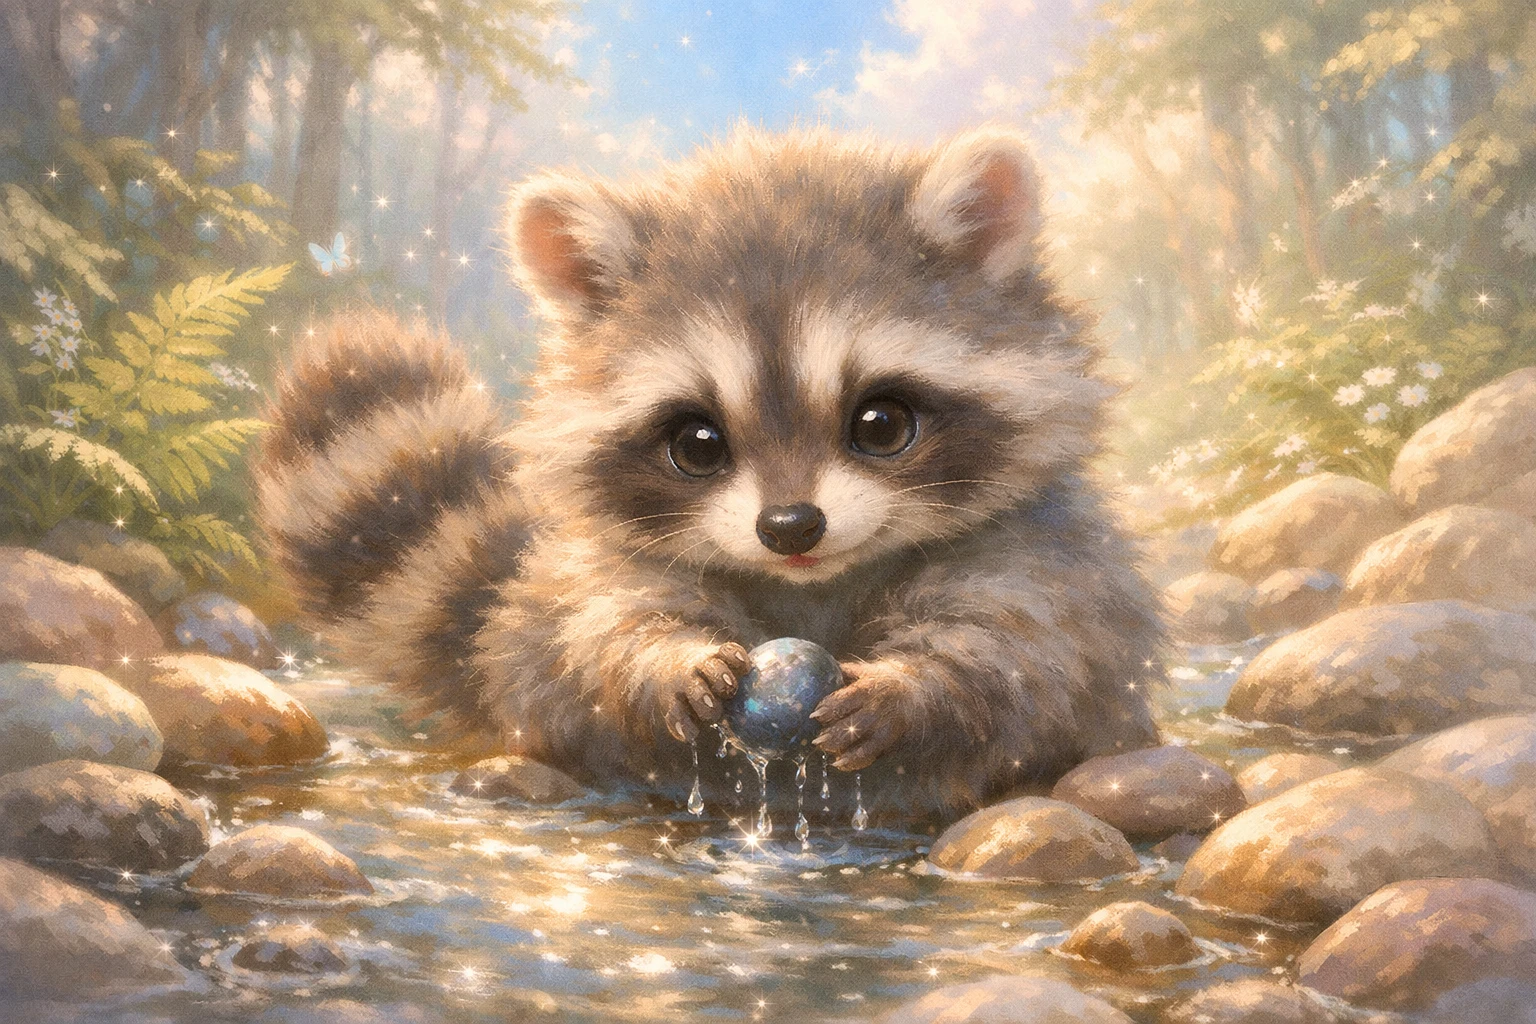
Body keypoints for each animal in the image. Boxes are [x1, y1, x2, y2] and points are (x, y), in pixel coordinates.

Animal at [255, 127, 1164, 820]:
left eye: (882, 425)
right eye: (696, 444)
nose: (790, 526)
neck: (810, 583)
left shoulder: (1041, 556)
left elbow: (1018, 651)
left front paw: (917, 686)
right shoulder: (601, 567)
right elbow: (601, 630)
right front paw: (666, 661)